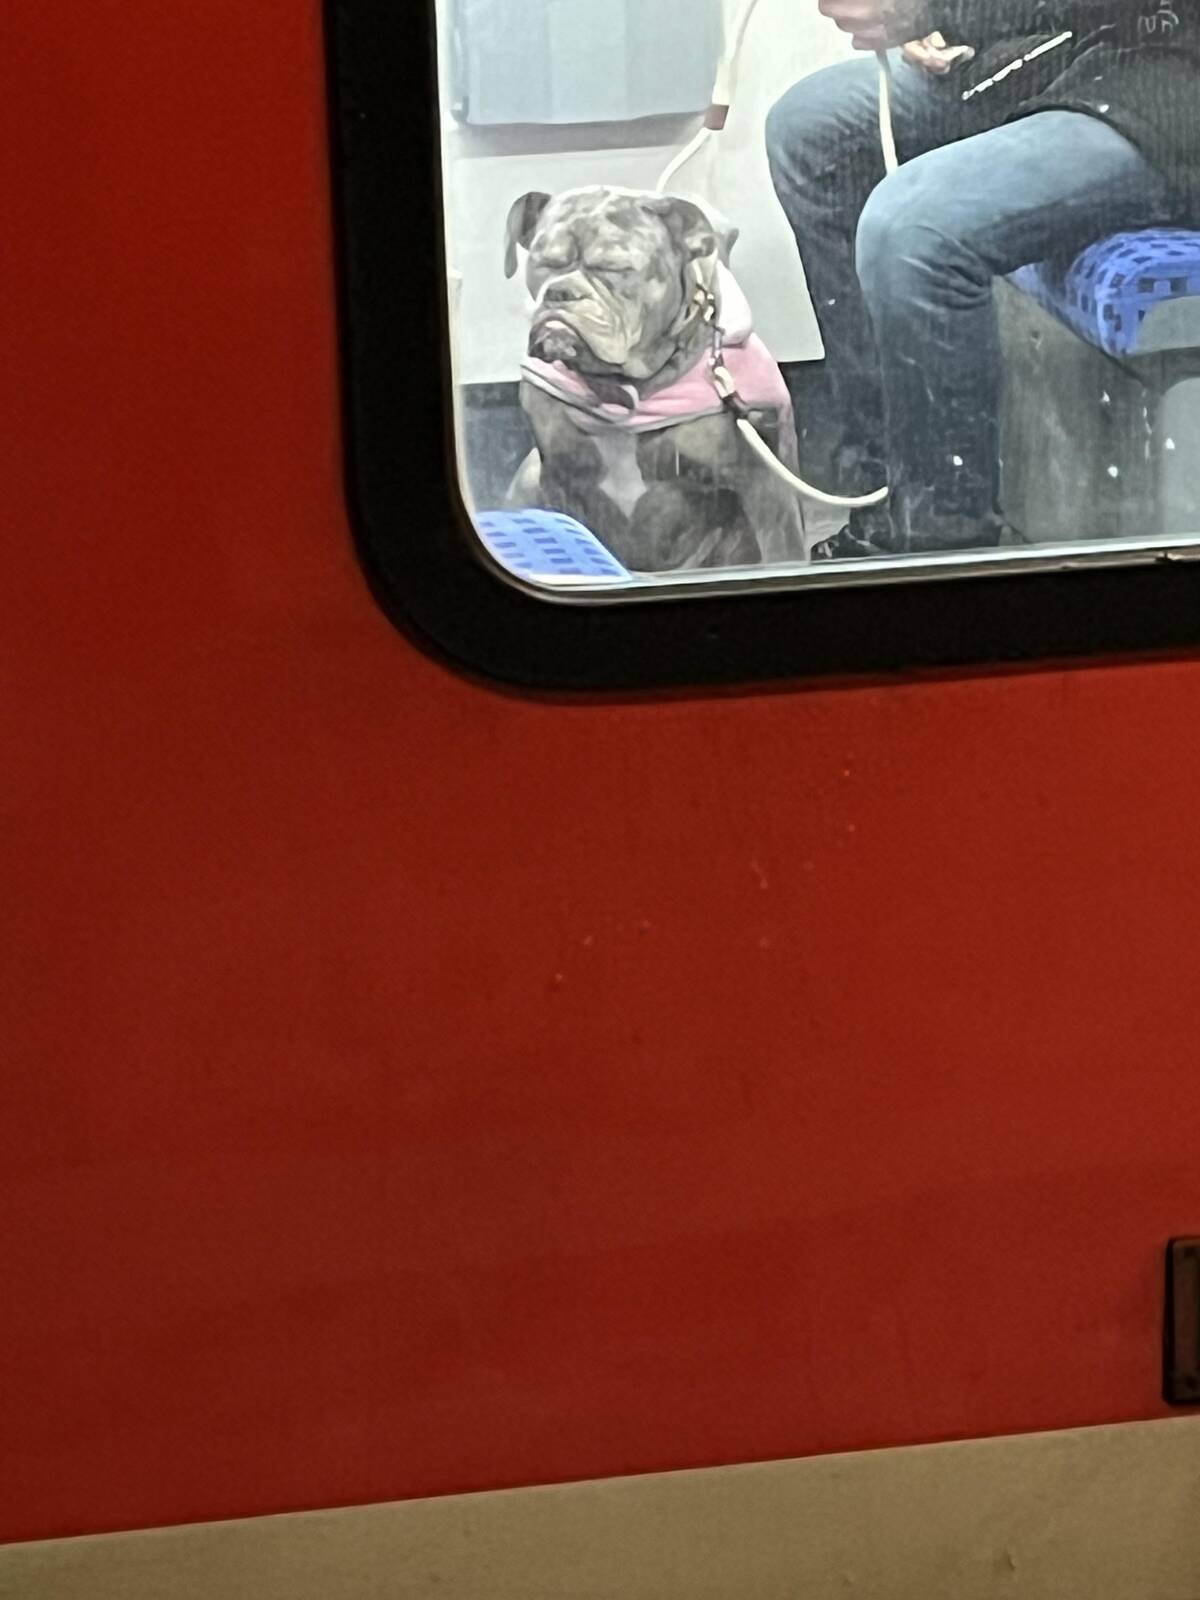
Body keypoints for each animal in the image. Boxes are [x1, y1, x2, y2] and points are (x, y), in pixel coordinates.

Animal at [503, 186, 806, 573]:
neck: (620, 388)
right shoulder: (560, 478)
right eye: (544, 263)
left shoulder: (765, 490)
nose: (561, 292)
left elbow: (782, 551)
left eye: (615, 268)